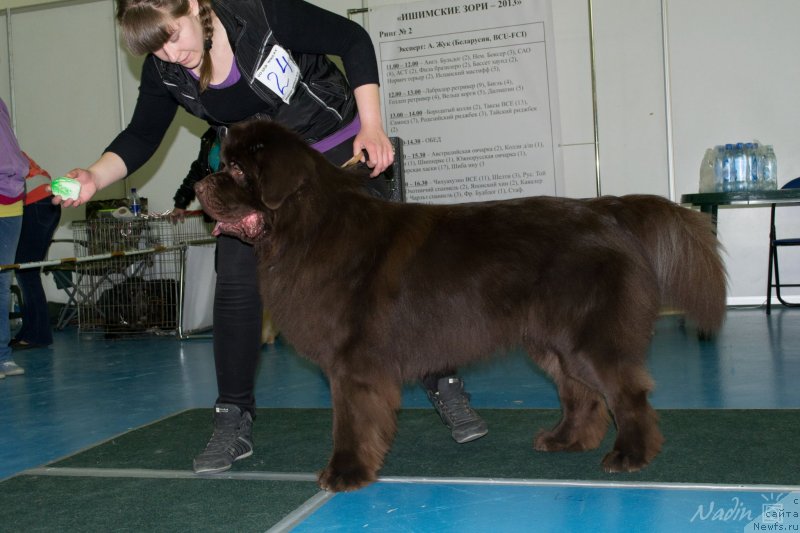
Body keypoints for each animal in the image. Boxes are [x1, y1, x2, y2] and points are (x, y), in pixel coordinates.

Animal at [194, 117, 724, 490]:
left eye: (238, 169)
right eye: (223, 162)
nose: (199, 186)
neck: (307, 228)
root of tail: (604, 210)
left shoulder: (352, 362)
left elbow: (349, 421)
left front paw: (345, 473)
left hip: (589, 337)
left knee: (626, 392)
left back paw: (630, 456)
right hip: (552, 341)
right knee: (581, 394)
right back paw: (565, 440)